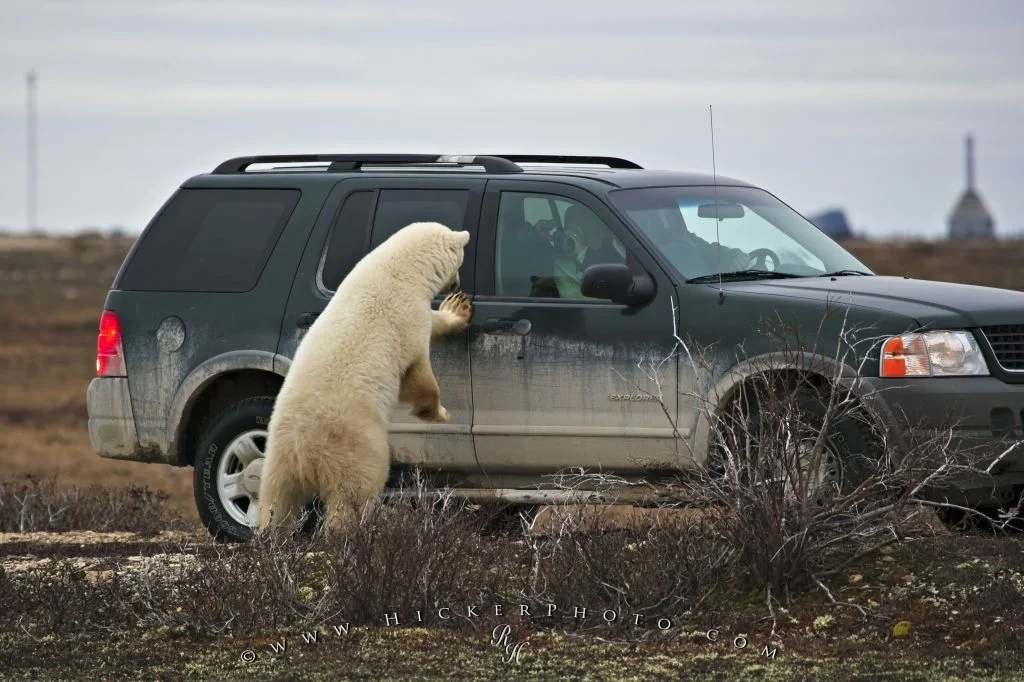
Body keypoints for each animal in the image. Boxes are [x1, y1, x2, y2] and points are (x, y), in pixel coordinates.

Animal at [256, 221, 472, 534]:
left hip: (277, 455)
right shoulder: (405, 319)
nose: (456, 285)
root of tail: (304, 453)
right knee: (355, 491)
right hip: (355, 444)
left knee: (277, 499)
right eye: (460, 260)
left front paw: (457, 308)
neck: (400, 270)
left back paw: (271, 533)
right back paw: (359, 528)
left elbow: (434, 323)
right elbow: (417, 374)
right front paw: (438, 413)